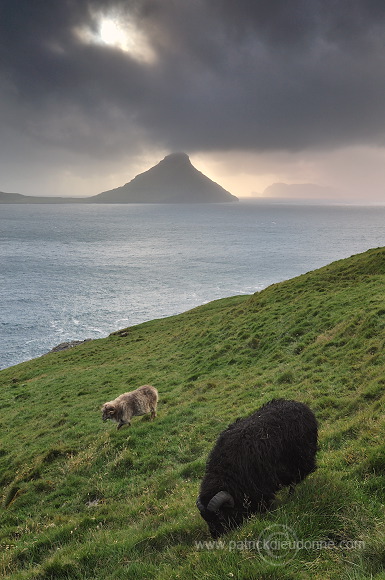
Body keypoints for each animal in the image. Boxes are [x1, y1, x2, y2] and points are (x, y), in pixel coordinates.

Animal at [196, 398, 316, 540]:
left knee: (295, 479)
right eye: (205, 518)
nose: (216, 536)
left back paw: (291, 495)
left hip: (299, 459)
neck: (227, 474)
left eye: (220, 515)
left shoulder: (260, 487)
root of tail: (297, 403)